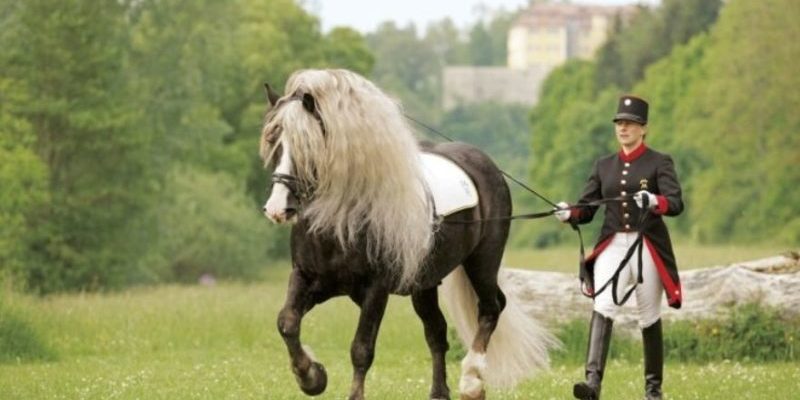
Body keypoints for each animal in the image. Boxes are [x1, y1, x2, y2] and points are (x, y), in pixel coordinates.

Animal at [260, 69, 552, 400]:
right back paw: (439, 392)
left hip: (483, 262)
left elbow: (361, 349)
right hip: (424, 283)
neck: (340, 222)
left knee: (491, 308)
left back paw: (472, 382)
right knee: (437, 332)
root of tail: (484, 162)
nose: (277, 209)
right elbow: (287, 322)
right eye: (274, 142)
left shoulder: (375, 289)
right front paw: (311, 377)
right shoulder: (308, 278)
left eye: (307, 147)